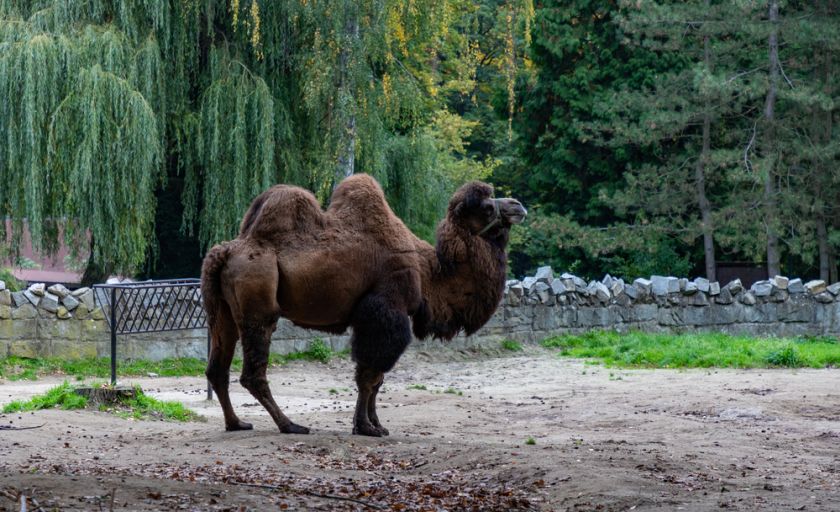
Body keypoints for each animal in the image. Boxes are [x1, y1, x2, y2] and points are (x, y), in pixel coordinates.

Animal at [200, 175, 524, 436]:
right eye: (487, 207)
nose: (518, 205)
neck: (428, 272)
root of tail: (225, 252)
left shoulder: (372, 319)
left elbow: (375, 378)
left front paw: (376, 424)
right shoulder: (386, 312)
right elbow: (370, 376)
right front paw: (366, 427)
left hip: (222, 312)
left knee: (218, 367)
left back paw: (236, 423)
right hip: (258, 301)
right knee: (253, 372)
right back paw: (290, 425)